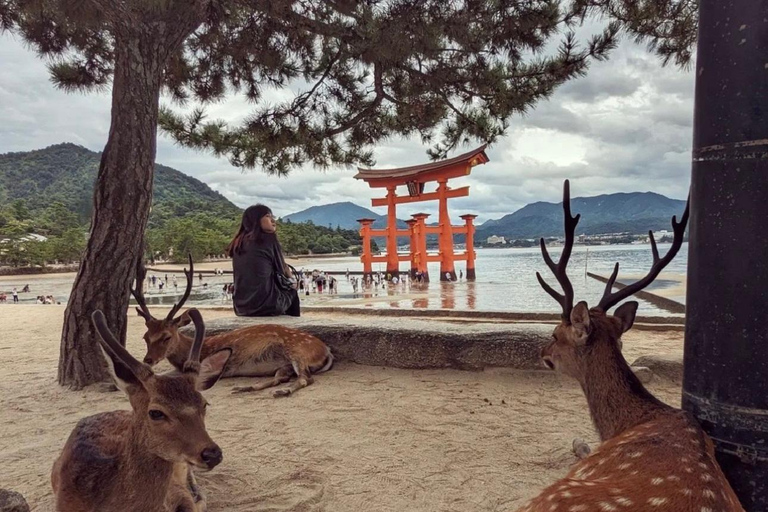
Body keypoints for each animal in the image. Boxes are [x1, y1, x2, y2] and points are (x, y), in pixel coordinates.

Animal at [130, 258, 332, 398]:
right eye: (145, 337)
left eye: (167, 336)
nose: (148, 359)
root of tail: (326, 351)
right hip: (285, 364)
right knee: (281, 377)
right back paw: (244, 388)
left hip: (297, 351)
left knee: (305, 378)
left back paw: (283, 392)